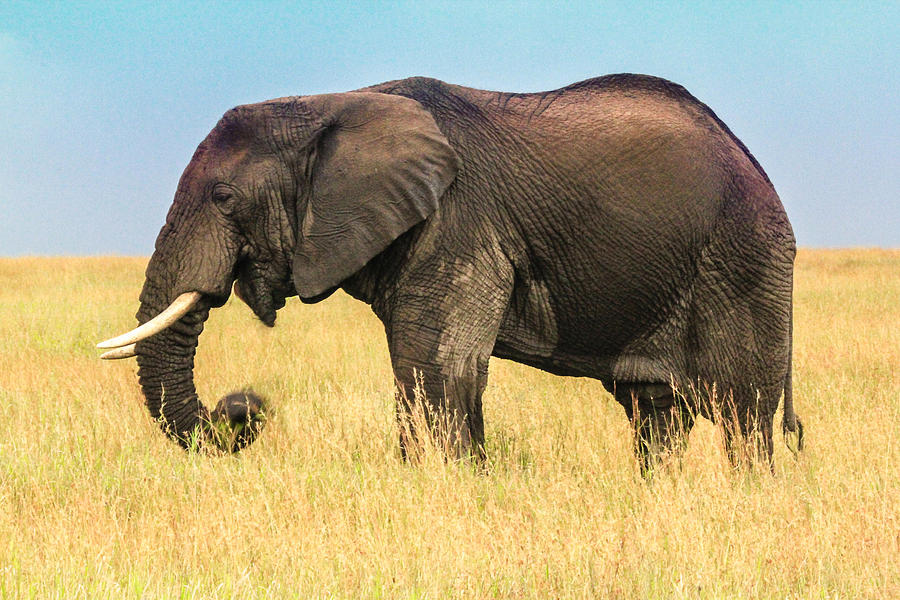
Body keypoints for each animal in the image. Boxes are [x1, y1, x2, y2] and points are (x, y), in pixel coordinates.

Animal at [98, 74, 800, 468]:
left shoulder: (460, 224)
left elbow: (434, 370)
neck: (327, 106)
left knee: (743, 414)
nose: (245, 406)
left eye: (222, 197)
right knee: (656, 412)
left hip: (743, 257)